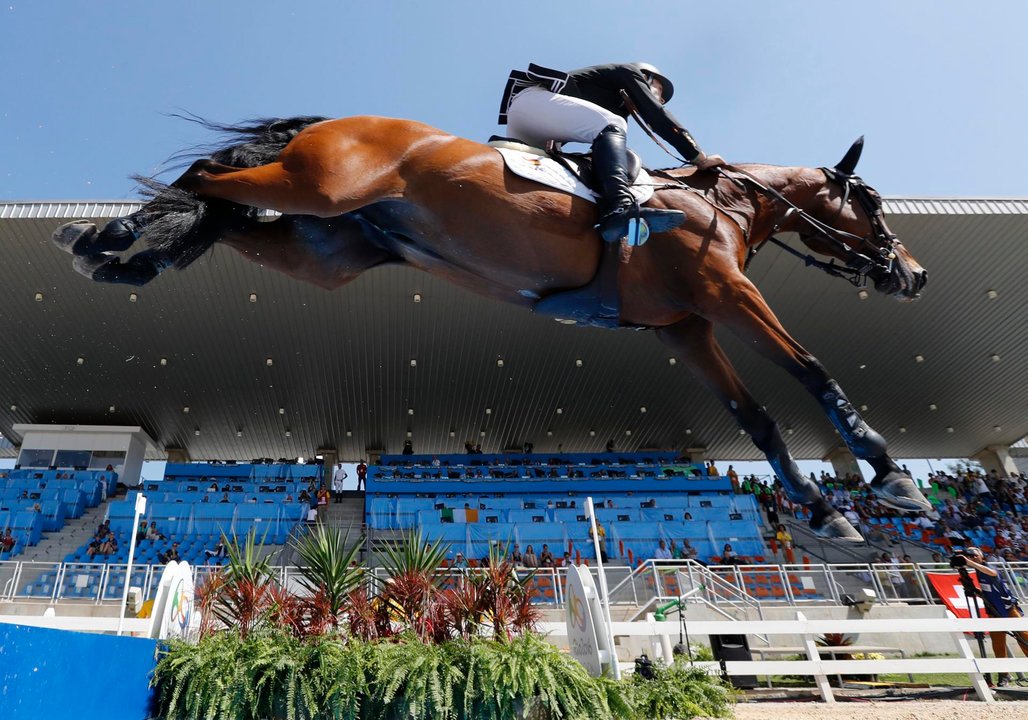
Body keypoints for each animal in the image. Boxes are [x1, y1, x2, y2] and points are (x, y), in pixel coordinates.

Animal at [50, 113, 933, 538]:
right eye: (873, 202)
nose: (914, 275)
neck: (721, 203)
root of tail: (332, 121)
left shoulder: (685, 326)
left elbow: (757, 420)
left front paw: (828, 514)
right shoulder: (724, 294)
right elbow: (812, 369)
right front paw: (894, 481)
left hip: (325, 249)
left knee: (224, 213)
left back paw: (124, 255)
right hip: (317, 187)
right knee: (209, 175)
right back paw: (110, 239)